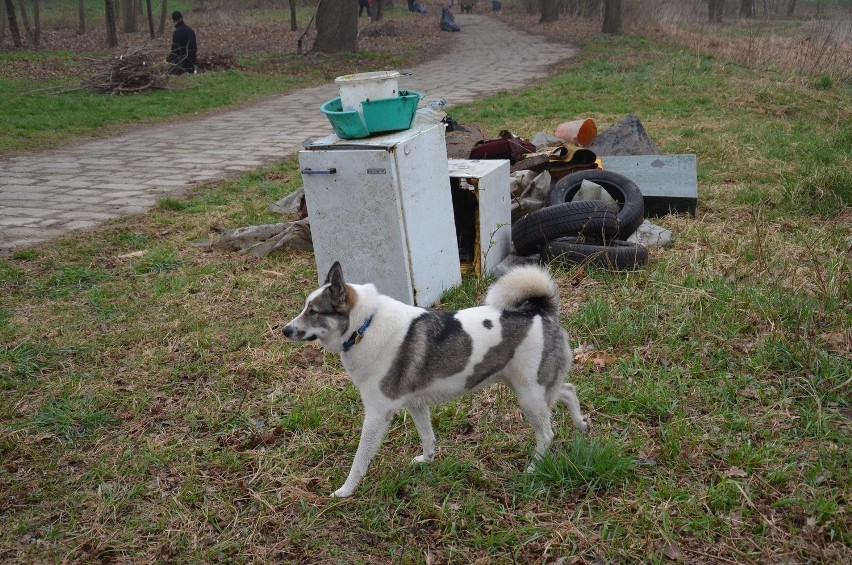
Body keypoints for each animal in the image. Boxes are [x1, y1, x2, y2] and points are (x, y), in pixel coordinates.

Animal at [282, 262, 588, 496]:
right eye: (305, 308)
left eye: (314, 312)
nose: (284, 330)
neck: (364, 326)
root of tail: (539, 311)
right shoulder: (416, 403)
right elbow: (427, 436)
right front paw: (427, 461)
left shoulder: (377, 414)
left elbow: (360, 458)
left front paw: (346, 490)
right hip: (527, 388)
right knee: (568, 390)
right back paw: (581, 425)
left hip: (529, 396)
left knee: (547, 433)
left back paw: (534, 468)